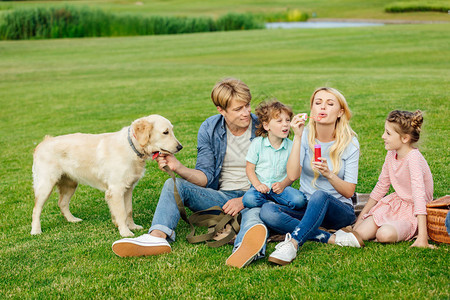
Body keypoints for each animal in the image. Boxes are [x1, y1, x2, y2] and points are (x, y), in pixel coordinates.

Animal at [30, 114, 183, 237]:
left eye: (172, 130)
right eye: (165, 132)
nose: (180, 147)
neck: (132, 147)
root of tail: (43, 142)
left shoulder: (128, 188)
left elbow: (128, 210)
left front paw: (132, 226)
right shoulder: (116, 190)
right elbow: (121, 212)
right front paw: (125, 232)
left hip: (71, 183)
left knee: (62, 203)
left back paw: (72, 220)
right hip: (46, 185)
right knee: (36, 209)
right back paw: (36, 230)